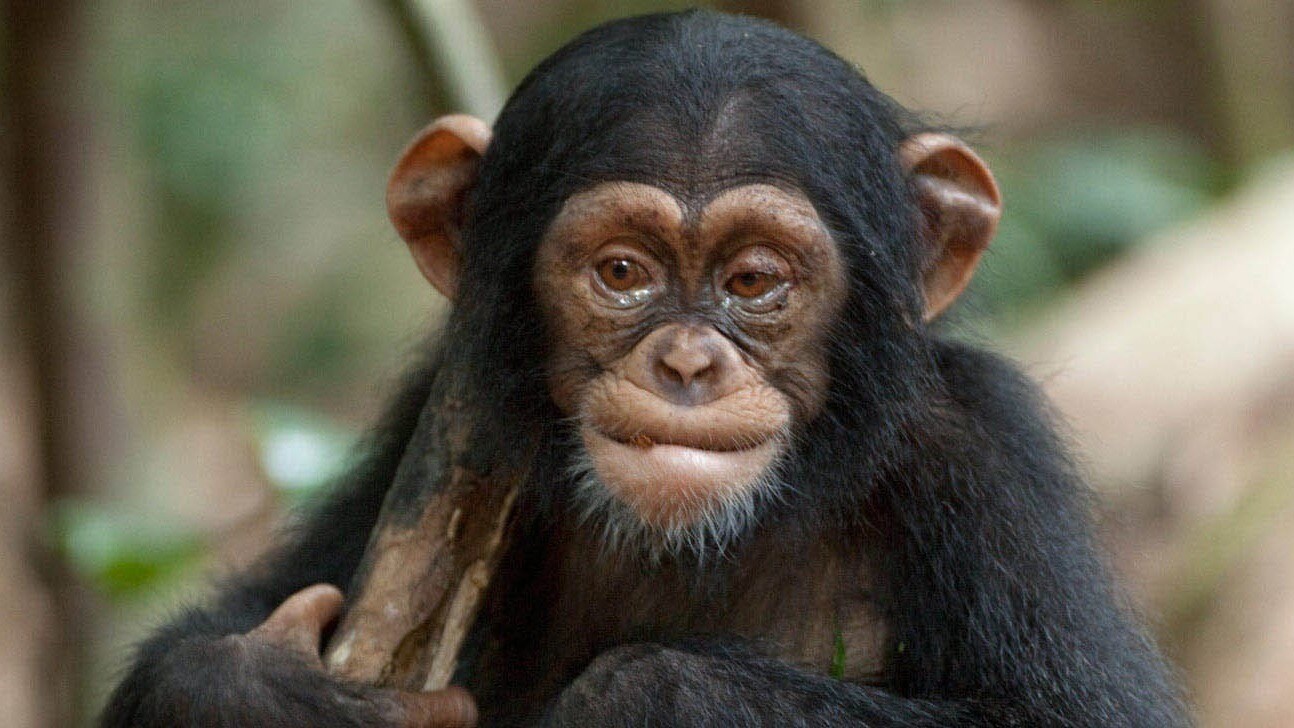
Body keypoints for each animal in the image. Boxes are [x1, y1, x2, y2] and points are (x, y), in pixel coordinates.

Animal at [100, 11, 1190, 728]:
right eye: (622, 272)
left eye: (754, 279)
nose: (686, 362)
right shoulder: (439, 418)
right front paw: (255, 692)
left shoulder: (982, 451)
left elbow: (1067, 715)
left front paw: (639, 694)